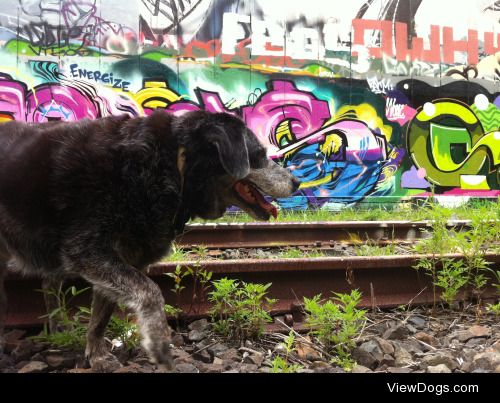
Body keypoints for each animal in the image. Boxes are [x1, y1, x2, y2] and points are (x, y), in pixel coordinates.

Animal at [0, 111, 298, 372]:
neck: (167, 165)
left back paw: (58, 329)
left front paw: (97, 357)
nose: (296, 182)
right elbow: (150, 291)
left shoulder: (121, 260)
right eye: (259, 155)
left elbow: (101, 318)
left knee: (49, 283)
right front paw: (158, 345)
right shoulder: (86, 250)